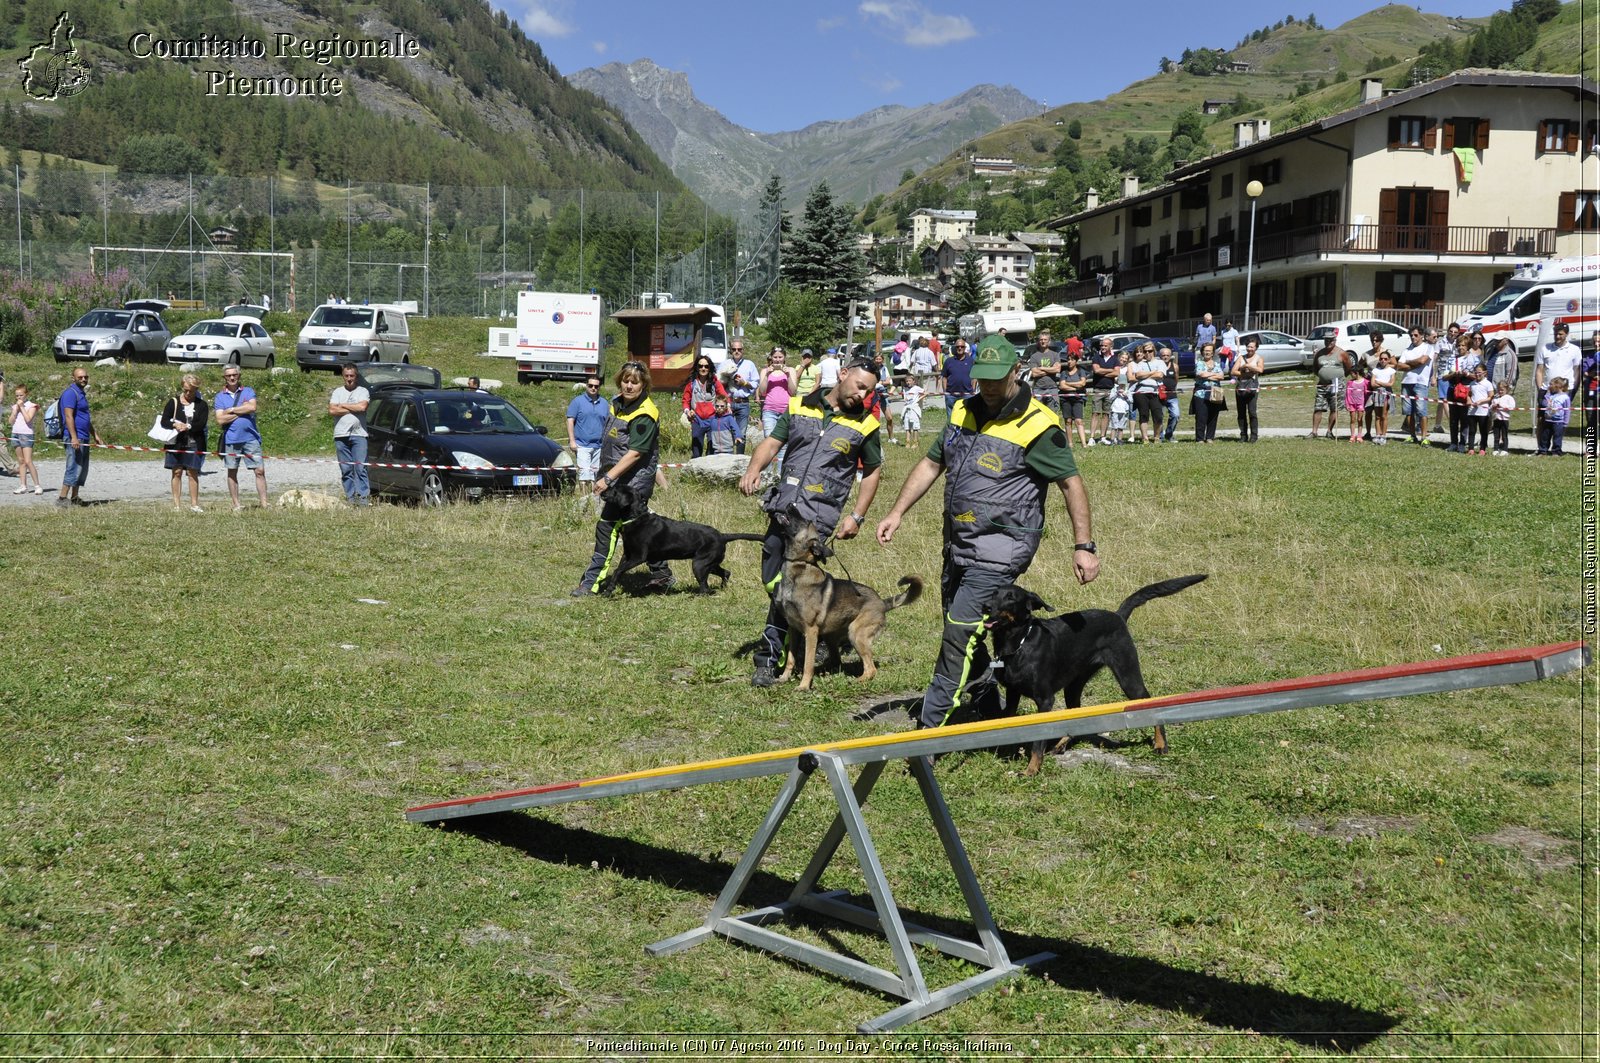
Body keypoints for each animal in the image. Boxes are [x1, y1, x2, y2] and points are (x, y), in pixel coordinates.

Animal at [598, 486, 764, 592]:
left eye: (614, 490)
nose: (601, 491)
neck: (636, 517)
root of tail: (722, 536)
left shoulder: (639, 557)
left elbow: (618, 570)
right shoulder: (627, 554)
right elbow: (618, 571)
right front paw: (609, 590)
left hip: (699, 564)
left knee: (706, 588)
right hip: (710, 563)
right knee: (726, 573)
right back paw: (723, 587)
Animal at [777, 521, 928, 688]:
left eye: (802, 522)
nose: (810, 520)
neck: (799, 567)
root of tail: (881, 602)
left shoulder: (810, 631)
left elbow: (807, 663)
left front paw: (803, 686)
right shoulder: (793, 628)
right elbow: (790, 659)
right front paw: (784, 677)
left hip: (856, 633)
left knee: (871, 668)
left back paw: (858, 680)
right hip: (833, 636)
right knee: (837, 660)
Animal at [979, 573, 1203, 771]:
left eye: (1010, 597)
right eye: (994, 593)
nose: (985, 606)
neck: (1018, 644)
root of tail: (1118, 616)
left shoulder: (1045, 700)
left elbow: (1037, 741)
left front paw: (1031, 769)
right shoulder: (1012, 693)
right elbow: (1007, 723)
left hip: (1128, 676)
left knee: (1150, 703)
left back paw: (1161, 745)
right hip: (1074, 685)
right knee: (1075, 712)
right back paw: (1060, 744)